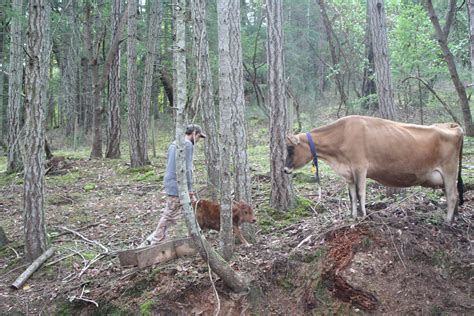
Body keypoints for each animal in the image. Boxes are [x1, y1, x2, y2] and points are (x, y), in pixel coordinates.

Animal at [284, 115, 464, 222]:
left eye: (290, 148)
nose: (285, 170)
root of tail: (451, 125)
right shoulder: (349, 173)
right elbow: (352, 195)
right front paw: (353, 216)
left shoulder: (360, 167)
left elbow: (360, 193)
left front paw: (363, 215)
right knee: (452, 194)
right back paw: (454, 217)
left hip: (449, 169)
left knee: (452, 195)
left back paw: (448, 221)